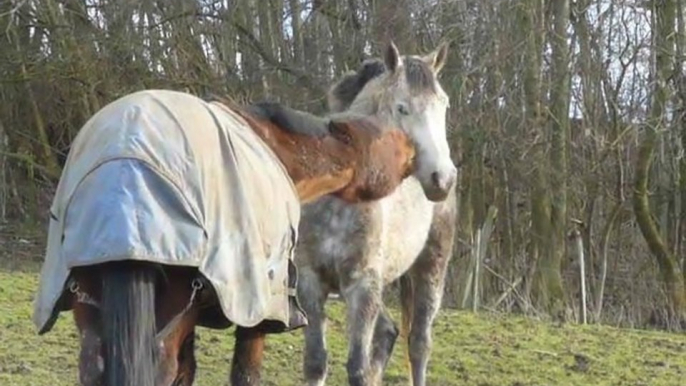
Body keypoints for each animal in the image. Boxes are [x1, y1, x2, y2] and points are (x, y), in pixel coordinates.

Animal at [33, 88, 446, 386]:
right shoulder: (257, 309)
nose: (418, 157)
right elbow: (244, 374)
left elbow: (188, 371)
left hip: (91, 308)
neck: (278, 150)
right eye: (385, 136)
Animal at [294, 42, 456, 386]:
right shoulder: (311, 282)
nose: (443, 178)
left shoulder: (362, 287)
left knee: (418, 344)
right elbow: (316, 362)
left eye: (444, 105)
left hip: (431, 269)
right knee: (388, 333)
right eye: (402, 108)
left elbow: (357, 367)